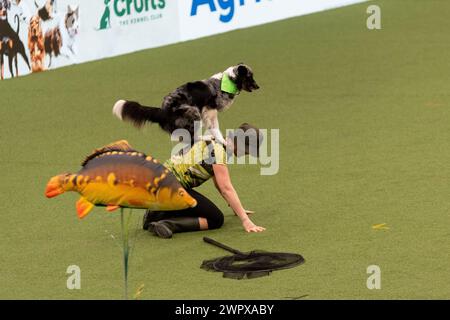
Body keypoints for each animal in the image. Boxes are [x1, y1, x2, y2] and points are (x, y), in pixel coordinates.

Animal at [112, 63, 260, 145]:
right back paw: (207, 137)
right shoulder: (209, 111)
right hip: (193, 112)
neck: (227, 81)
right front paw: (221, 140)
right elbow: (215, 127)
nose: (258, 87)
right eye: (250, 77)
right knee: (194, 138)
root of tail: (162, 111)